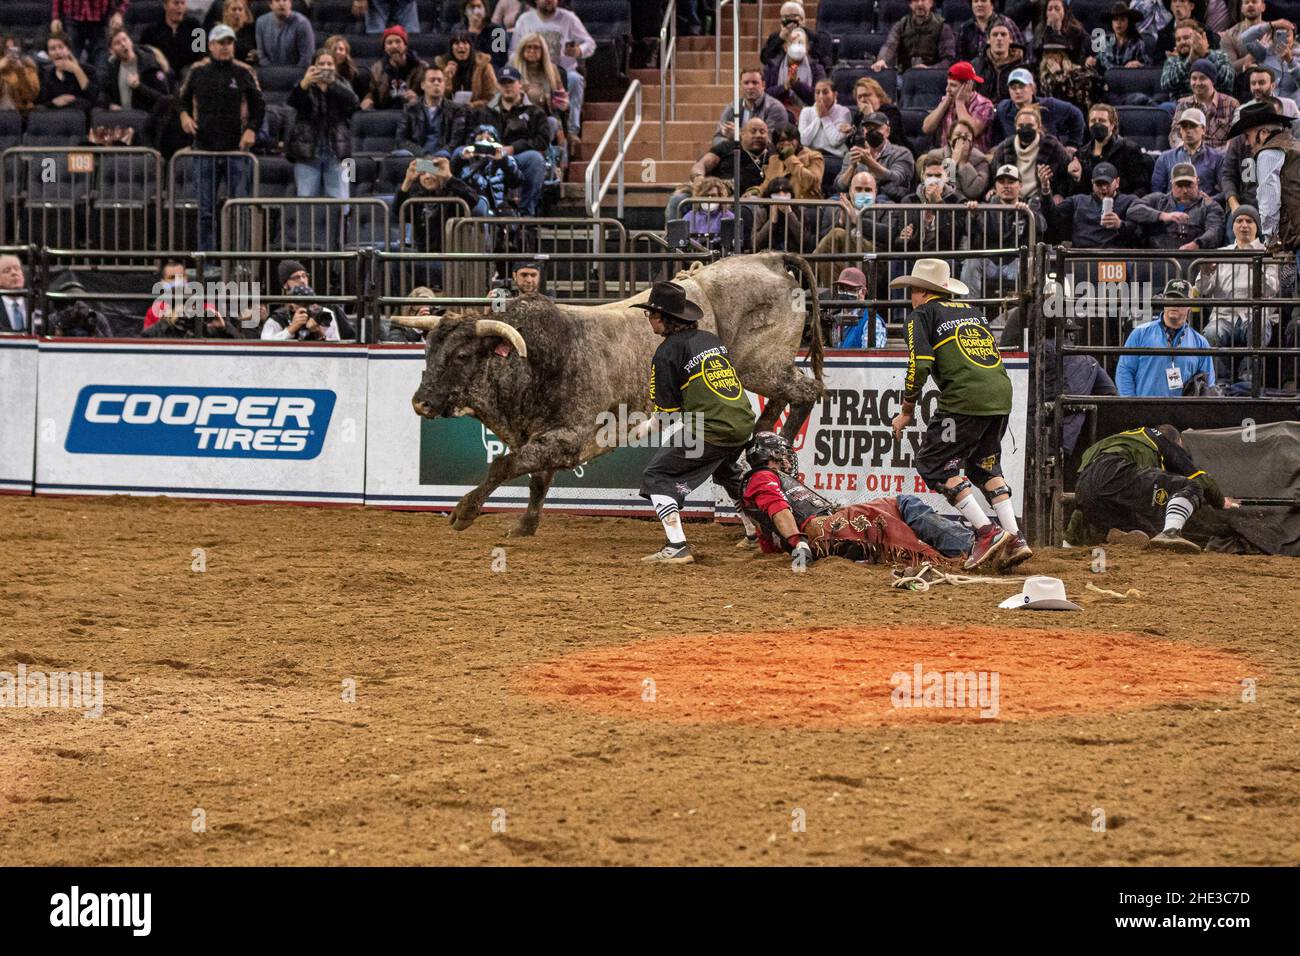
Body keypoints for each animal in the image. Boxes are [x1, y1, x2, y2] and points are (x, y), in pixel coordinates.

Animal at [395, 254, 821, 538]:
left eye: (463, 355)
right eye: (429, 350)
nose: (420, 402)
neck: (536, 360)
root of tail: (768, 258)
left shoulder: (569, 437)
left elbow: (503, 466)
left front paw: (464, 511)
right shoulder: (540, 435)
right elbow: (536, 479)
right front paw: (525, 526)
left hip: (762, 365)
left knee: (808, 391)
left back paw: (777, 449)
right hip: (763, 371)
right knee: (781, 401)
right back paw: (759, 441)